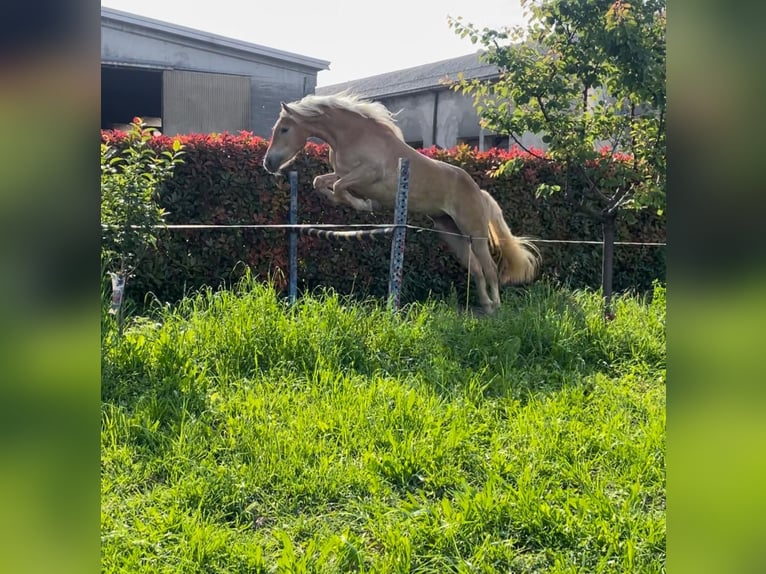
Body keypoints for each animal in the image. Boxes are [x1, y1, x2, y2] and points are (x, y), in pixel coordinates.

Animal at [264, 93, 540, 316]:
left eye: (284, 129)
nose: (269, 163)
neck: (353, 136)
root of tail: (478, 191)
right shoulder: (344, 174)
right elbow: (321, 182)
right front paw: (351, 201)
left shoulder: (367, 175)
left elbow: (340, 186)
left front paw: (365, 205)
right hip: (450, 233)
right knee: (476, 269)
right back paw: (485, 305)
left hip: (475, 232)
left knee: (490, 268)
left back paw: (496, 306)